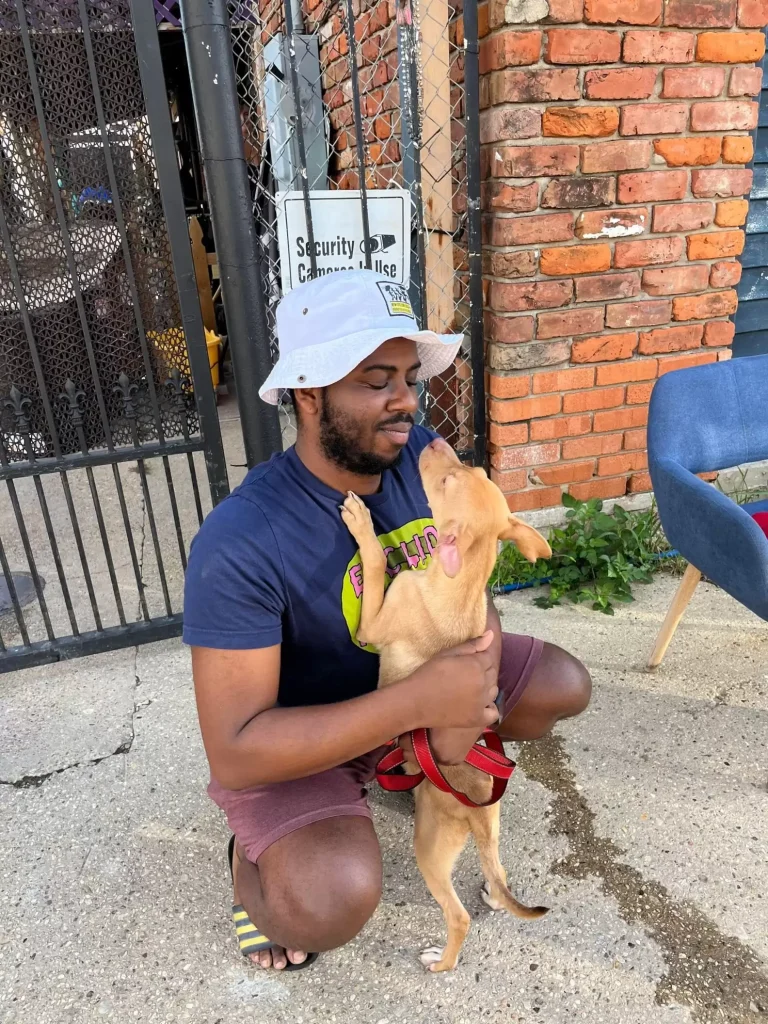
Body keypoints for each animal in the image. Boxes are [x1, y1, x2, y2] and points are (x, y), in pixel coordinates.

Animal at [342, 436, 552, 970]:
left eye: (446, 481)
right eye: (469, 470)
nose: (434, 438)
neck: (456, 581)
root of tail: (474, 806)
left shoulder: (371, 626)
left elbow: (376, 564)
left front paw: (362, 526)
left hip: (430, 851)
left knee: (458, 918)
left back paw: (441, 960)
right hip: (491, 831)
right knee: (499, 873)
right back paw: (494, 896)